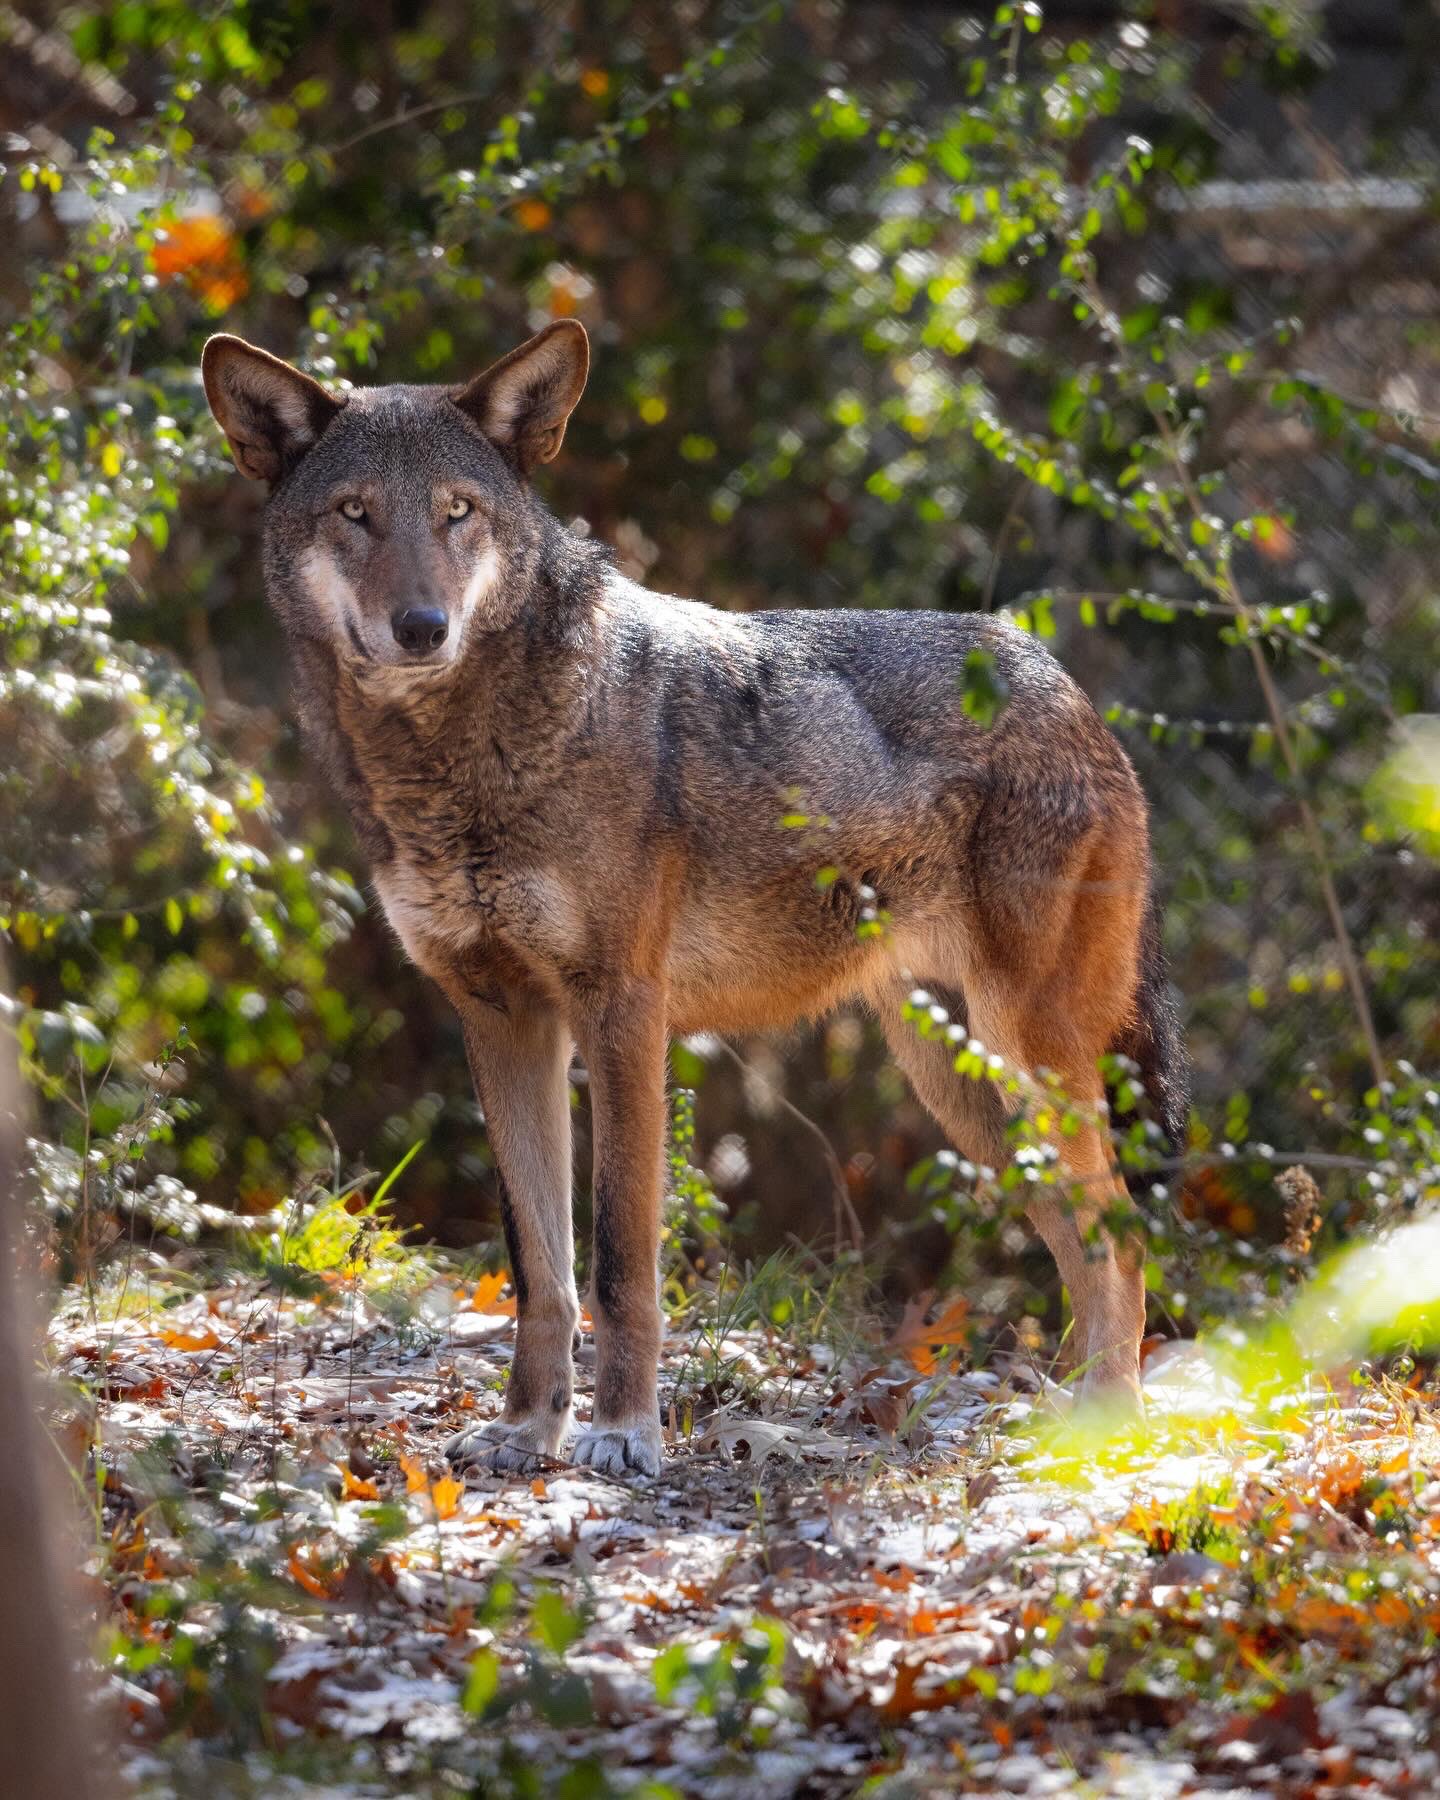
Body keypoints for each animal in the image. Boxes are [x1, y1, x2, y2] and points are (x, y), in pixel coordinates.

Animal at [203, 320, 1186, 1476]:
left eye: (458, 511)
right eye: (355, 512)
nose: (421, 625)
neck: (460, 759)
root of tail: (1064, 683)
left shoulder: (622, 1011)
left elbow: (621, 1259)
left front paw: (622, 1434)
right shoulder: (501, 1018)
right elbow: (540, 1266)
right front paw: (528, 1426)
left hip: (1027, 1062)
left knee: (1122, 1240)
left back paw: (1108, 1428)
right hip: (969, 1093)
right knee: (1084, 1242)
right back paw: (1072, 1416)